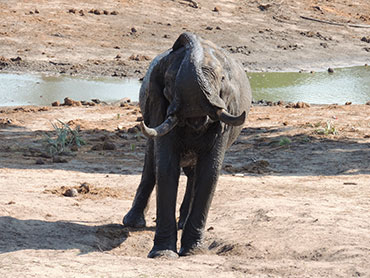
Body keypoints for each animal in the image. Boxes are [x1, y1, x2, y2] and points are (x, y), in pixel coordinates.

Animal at [123, 32, 253, 258]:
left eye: (220, 79)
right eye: (168, 83)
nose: (183, 39)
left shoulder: (226, 114)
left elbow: (209, 173)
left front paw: (193, 251)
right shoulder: (158, 107)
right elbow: (166, 169)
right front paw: (163, 254)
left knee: (193, 173)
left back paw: (182, 223)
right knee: (151, 165)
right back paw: (132, 223)